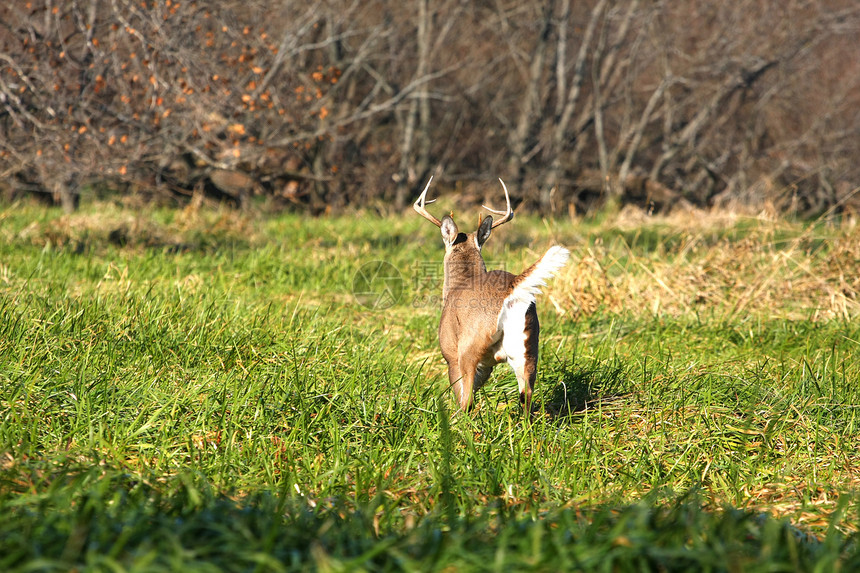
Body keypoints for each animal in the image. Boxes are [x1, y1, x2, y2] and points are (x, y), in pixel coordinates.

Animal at [414, 177, 568, 408]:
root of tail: (512, 287)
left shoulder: (450, 353)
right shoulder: (487, 365)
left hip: (469, 346)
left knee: (467, 402)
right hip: (528, 346)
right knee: (527, 396)